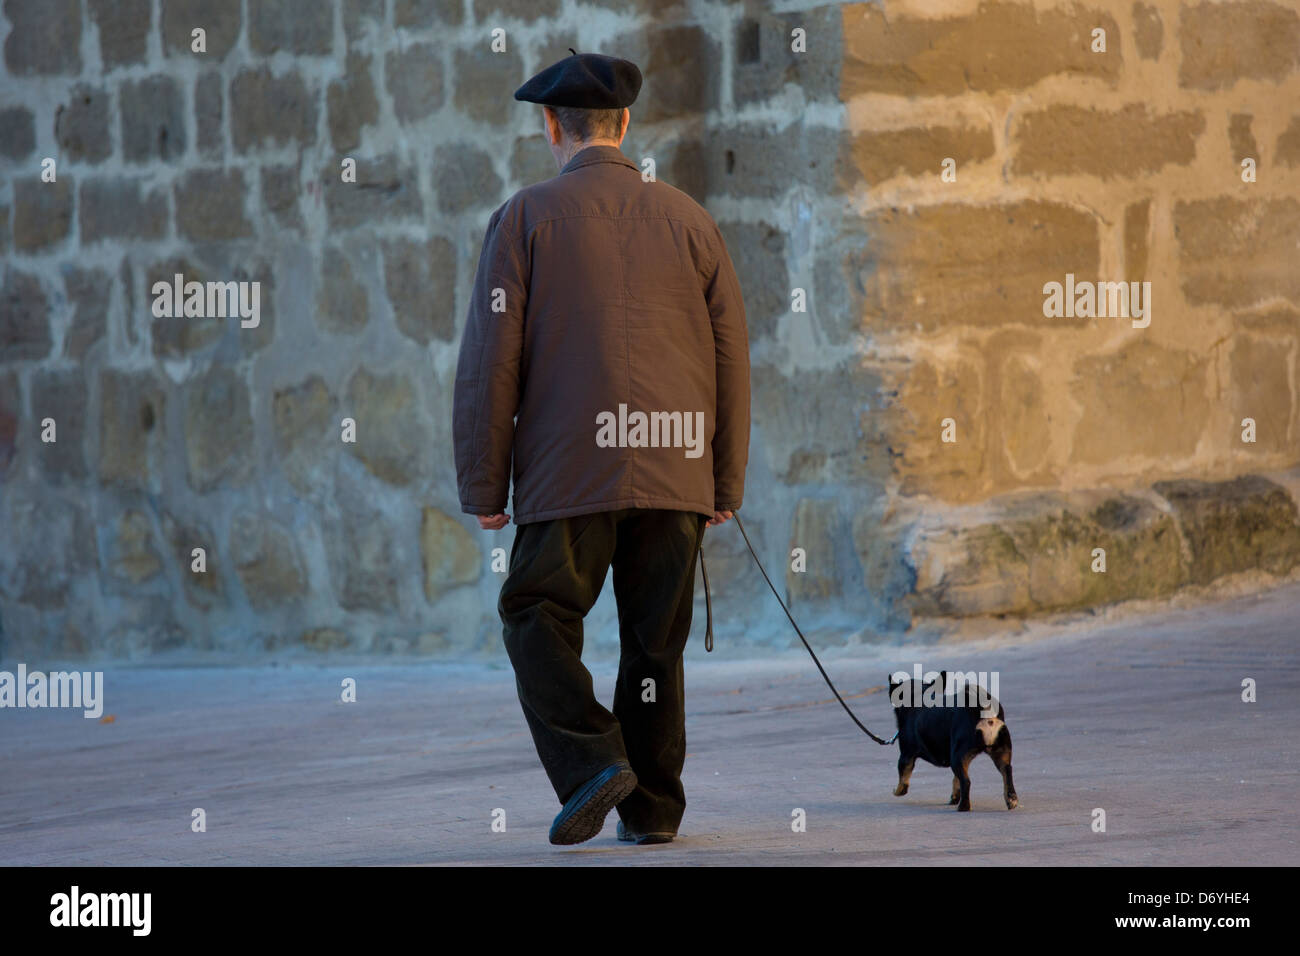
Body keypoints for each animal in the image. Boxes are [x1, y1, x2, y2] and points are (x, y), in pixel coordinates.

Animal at [889, 671, 1019, 811]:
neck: (919, 694)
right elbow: (956, 780)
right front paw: (955, 797)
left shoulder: (906, 756)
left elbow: (903, 779)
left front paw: (897, 791)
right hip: (999, 752)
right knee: (1007, 771)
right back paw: (1011, 799)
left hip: (956, 757)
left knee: (966, 782)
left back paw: (963, 806)